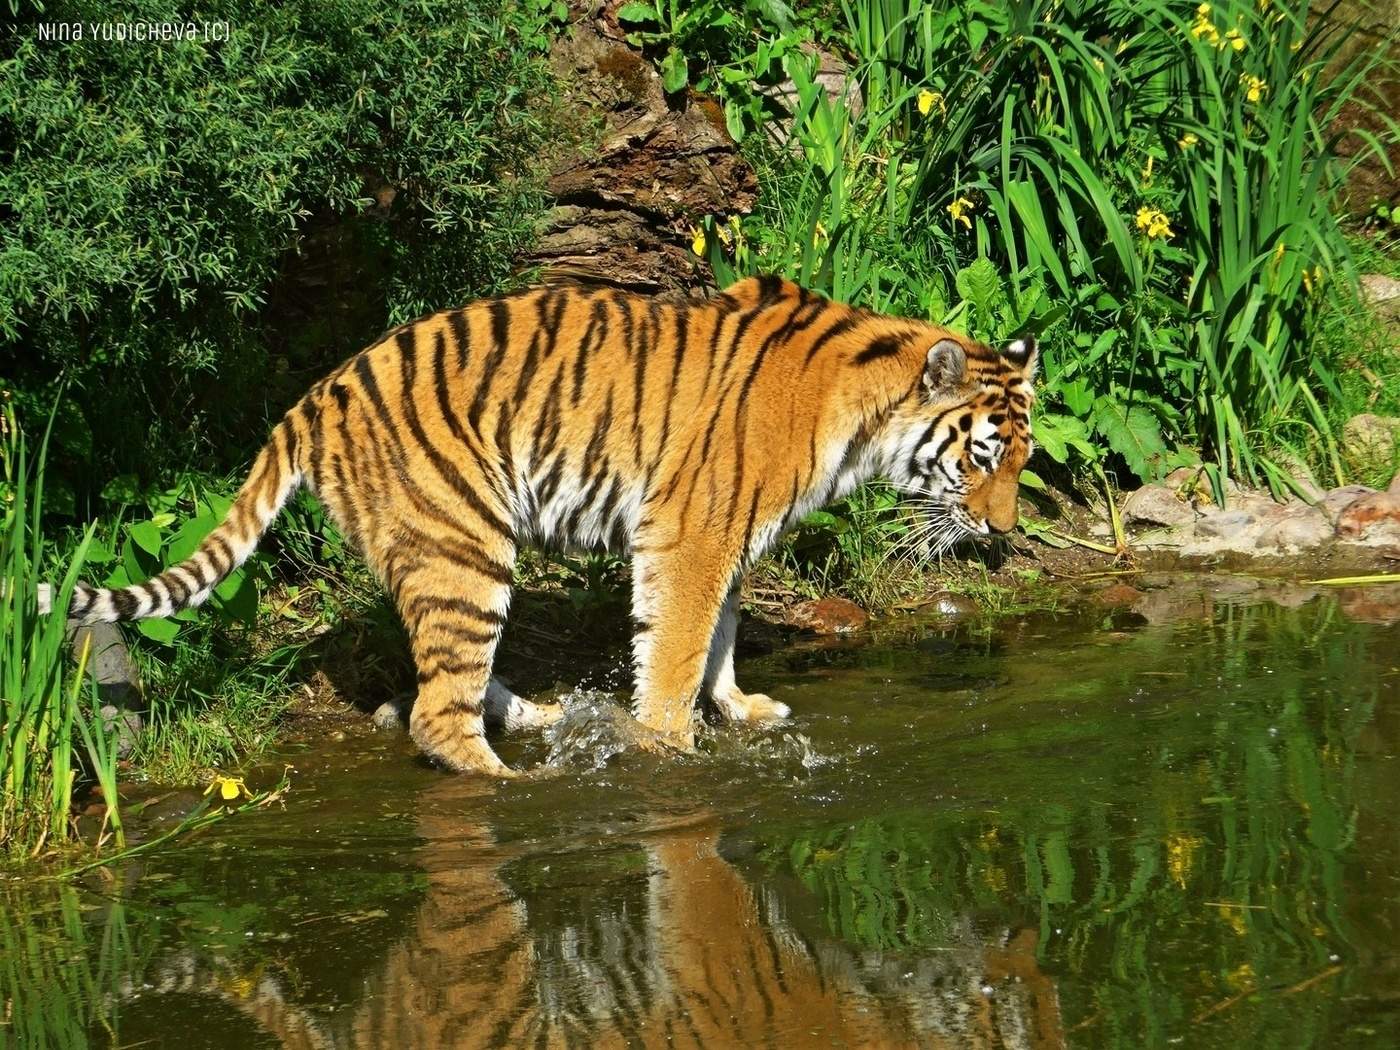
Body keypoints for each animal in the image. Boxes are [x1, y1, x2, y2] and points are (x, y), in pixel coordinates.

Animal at [56, 274, 1037, 776]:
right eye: (985, 458)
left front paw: (739, 708)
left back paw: (537, 713)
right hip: (464, 545)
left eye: (1023, 462)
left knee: (448, 676)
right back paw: (509, 783)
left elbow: (717, 636)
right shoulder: (693, 532)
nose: (1001, 532)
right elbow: (679, 644)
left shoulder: (726, 536)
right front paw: (671, 747)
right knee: (435, 714)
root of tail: (313, 397)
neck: (863, 415)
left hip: (457, 556)